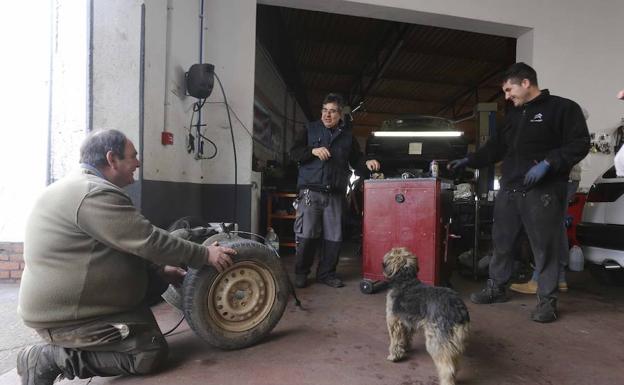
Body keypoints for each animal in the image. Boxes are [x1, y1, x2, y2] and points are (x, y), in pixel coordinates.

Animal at [382, 248, 470, 382]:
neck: (405, 279)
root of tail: (457, 309)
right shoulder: (407, 323)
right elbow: (405, 337)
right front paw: (405, 347)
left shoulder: (394, 321)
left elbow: (395, 341)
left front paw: (394, 356)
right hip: (454, 342)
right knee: (454, 362)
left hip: (436, 341)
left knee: (447, 367)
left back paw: (446, 380)